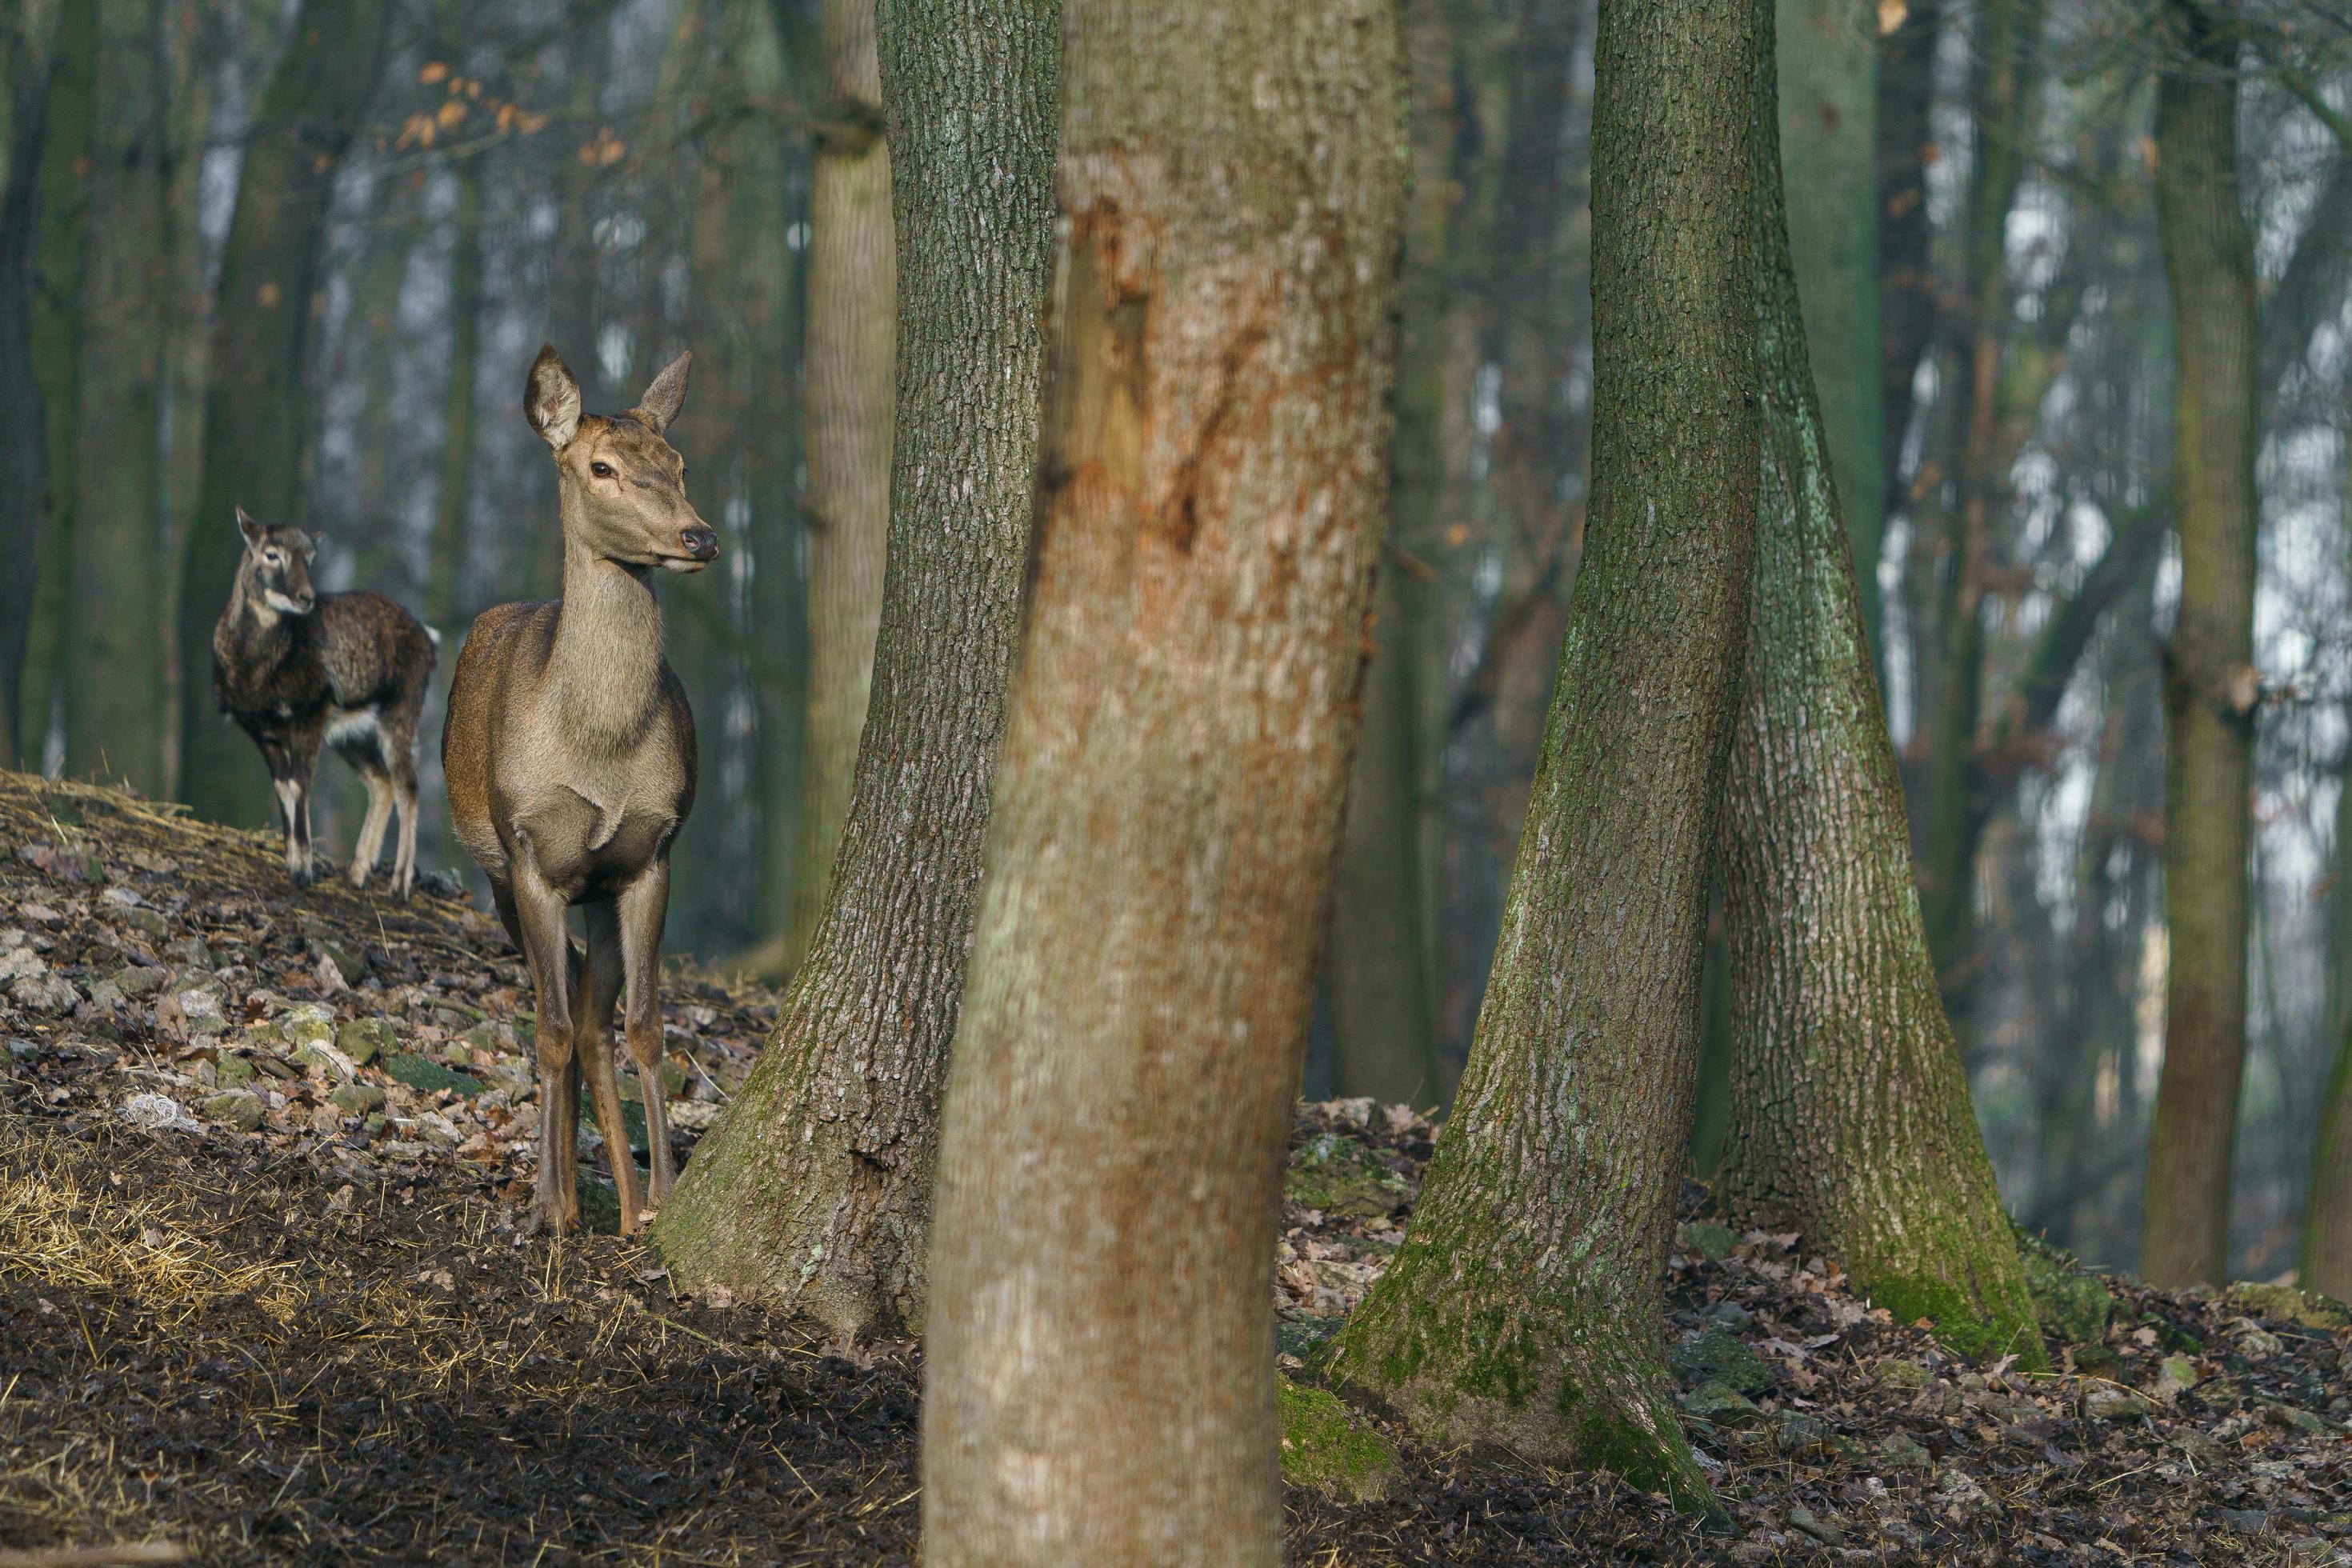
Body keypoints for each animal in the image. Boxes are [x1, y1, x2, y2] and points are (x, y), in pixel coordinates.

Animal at [213, 512, 442, 902]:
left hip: (401, 711)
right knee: (381, 782)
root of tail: (429, 639)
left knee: (407, 785)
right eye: (271, 554)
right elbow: (283, 786)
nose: (306, 598)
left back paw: (399, 886)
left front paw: (304, 870)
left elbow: (301, 784)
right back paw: (357, 873)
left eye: (311, 558)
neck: (258, 671)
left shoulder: (310, 712)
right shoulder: (261, 729)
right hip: (350, 733)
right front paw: (292, 862)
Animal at [442, 345, 710, 1241]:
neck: (600, 754)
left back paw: (627, 1203)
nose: (700, 534)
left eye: (679, 463)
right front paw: (547, 1206)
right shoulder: (530, 851)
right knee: (551, 1007)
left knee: (595, 1017)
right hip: (494, 869)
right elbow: (549, 1026)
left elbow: (646, 1026)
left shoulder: (653, 853)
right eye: (602, 468)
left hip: (598, 889)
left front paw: (664, 1197)